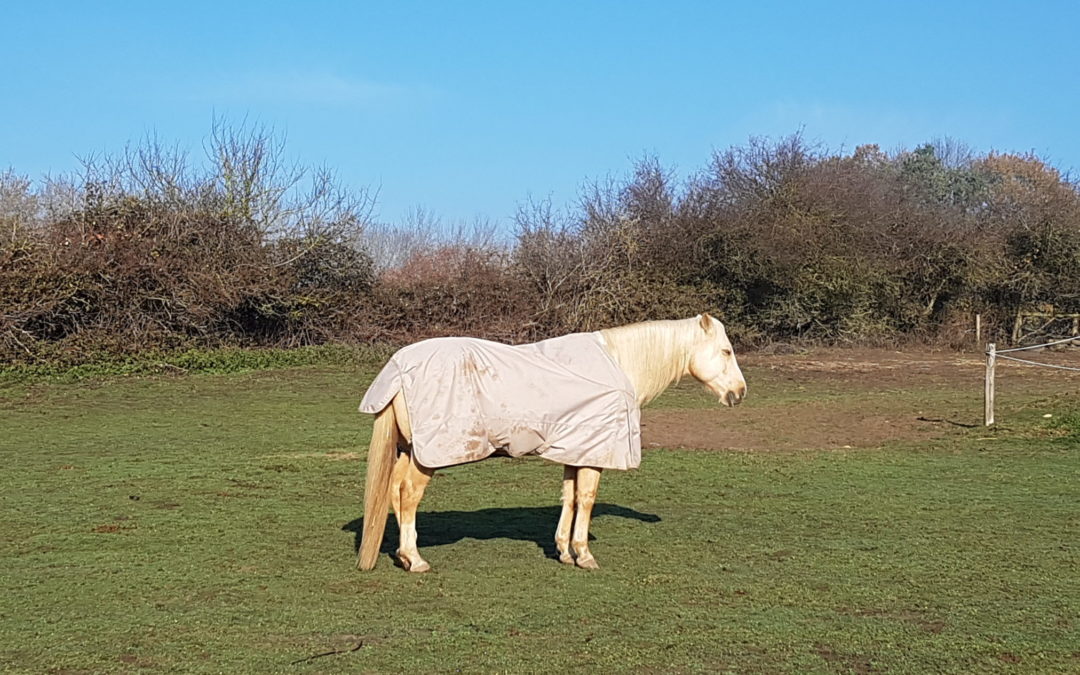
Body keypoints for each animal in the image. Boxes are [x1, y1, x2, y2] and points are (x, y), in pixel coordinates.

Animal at [354, 313, 743, 570]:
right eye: (725, 351)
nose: (739, 393)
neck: (618, 365)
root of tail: (398, 368)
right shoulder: (594, 454)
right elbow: (586, 499)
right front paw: (584, 554)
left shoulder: (576, 450)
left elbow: (569, 498)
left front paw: (564, 551)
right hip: (427, 457)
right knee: (408, 494)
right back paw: (415, 559)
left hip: (409, 450)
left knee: (393, 491)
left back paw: (403, 555)